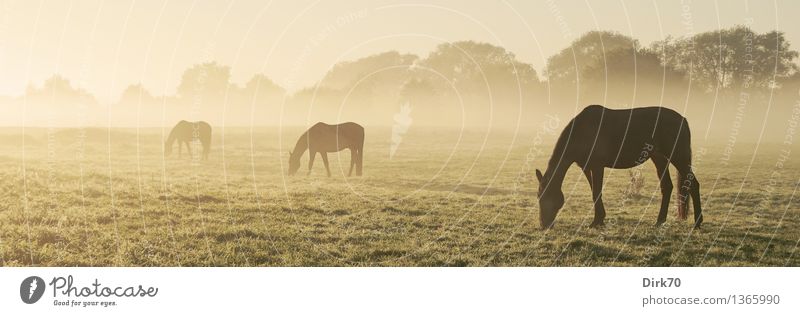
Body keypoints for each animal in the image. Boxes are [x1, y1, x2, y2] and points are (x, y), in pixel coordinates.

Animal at [536, 106, 700, 230]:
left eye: (548, 196)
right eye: (539, 196)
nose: (544, 225)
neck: (582, 131)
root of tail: (683, 120)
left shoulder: (597, 166)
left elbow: (596, 192)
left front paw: (596, 221)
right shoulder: (586, 167)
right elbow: (594, 191)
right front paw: (599, 219)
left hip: (678, 157)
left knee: (693, 184)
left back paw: (697, 223)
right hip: (659, 158)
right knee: (667, 186)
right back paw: (659, 221)